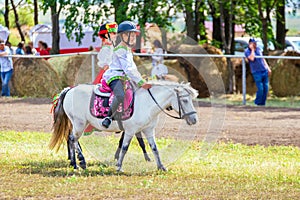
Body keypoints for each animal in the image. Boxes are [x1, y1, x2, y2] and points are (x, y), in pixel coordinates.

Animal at [50, 81, 198, 172]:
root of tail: (69, 90)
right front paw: (119, 166)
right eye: (185, 100)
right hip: (79, 123)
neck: (147, 103)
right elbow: (125, 147)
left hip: (78, 124)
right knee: (72, 139)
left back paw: (75, 163)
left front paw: (161, 166)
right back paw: (80, 162)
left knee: (70, 139)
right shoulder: (130, 131)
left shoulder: (148, 130)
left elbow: (154, 148)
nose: (194, 119)